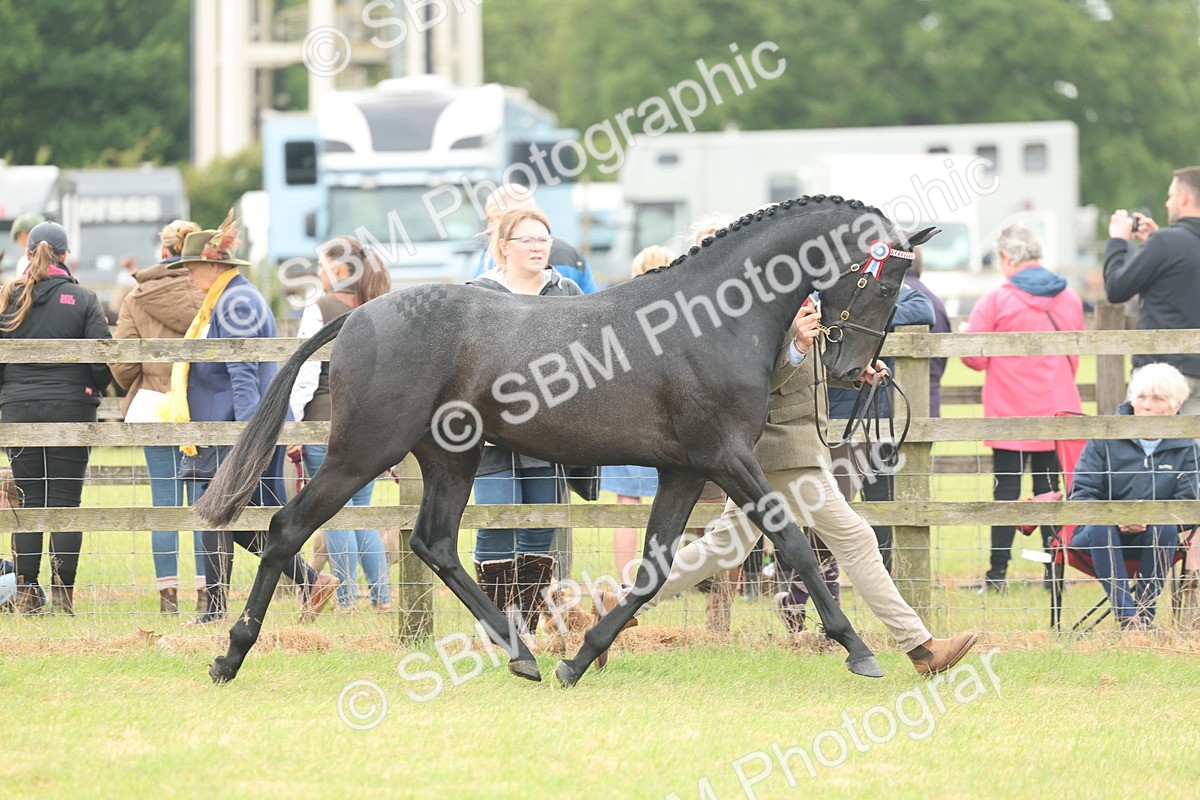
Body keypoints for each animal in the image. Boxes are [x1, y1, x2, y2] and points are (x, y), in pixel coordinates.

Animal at [194, 194, 937, 687]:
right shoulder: (725, 458)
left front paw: (578, 661)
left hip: (450, 457)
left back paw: (522, 655)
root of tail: (357, 318)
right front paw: (859, 650)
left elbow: (654, 569)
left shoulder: (683, 470)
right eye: (880, 278)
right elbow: (794, 547)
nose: (853, 368)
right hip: (362, 452)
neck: (710, 319)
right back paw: (231, 655)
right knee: (288, 528)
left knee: (434, 543)